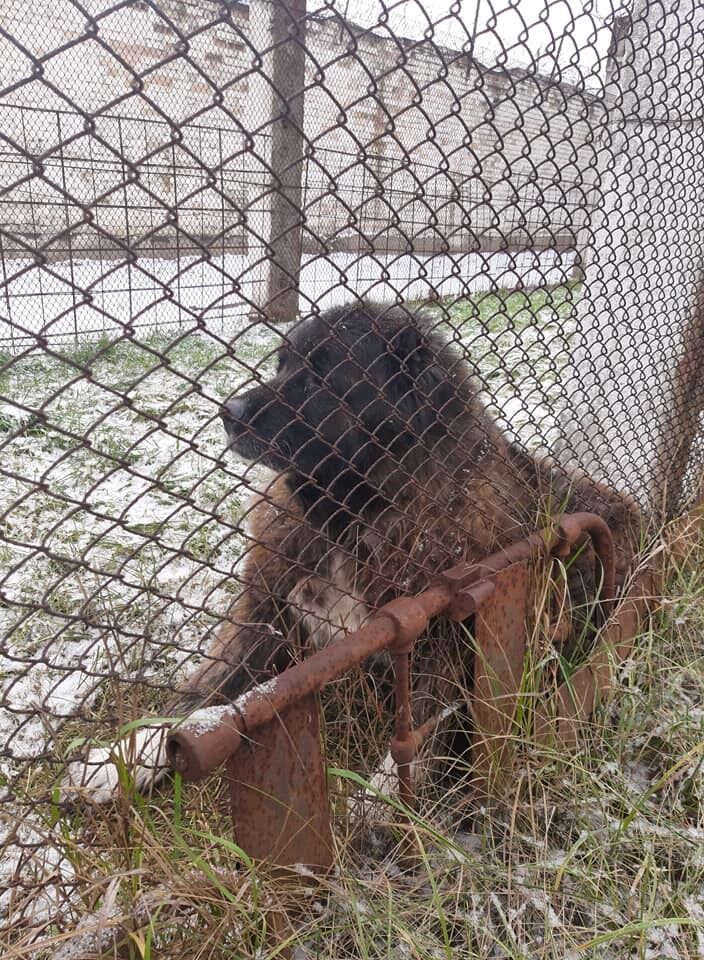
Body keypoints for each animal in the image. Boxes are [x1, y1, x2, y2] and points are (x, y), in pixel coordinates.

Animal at [64, 300, 644, 804]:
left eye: (322, 376)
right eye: (282, 363)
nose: (228, 411)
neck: (354, 516)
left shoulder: (444, 639)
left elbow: (420, 731)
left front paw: (382, 805)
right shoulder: (267, 611)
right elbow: (201, 695)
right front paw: (123, 760)